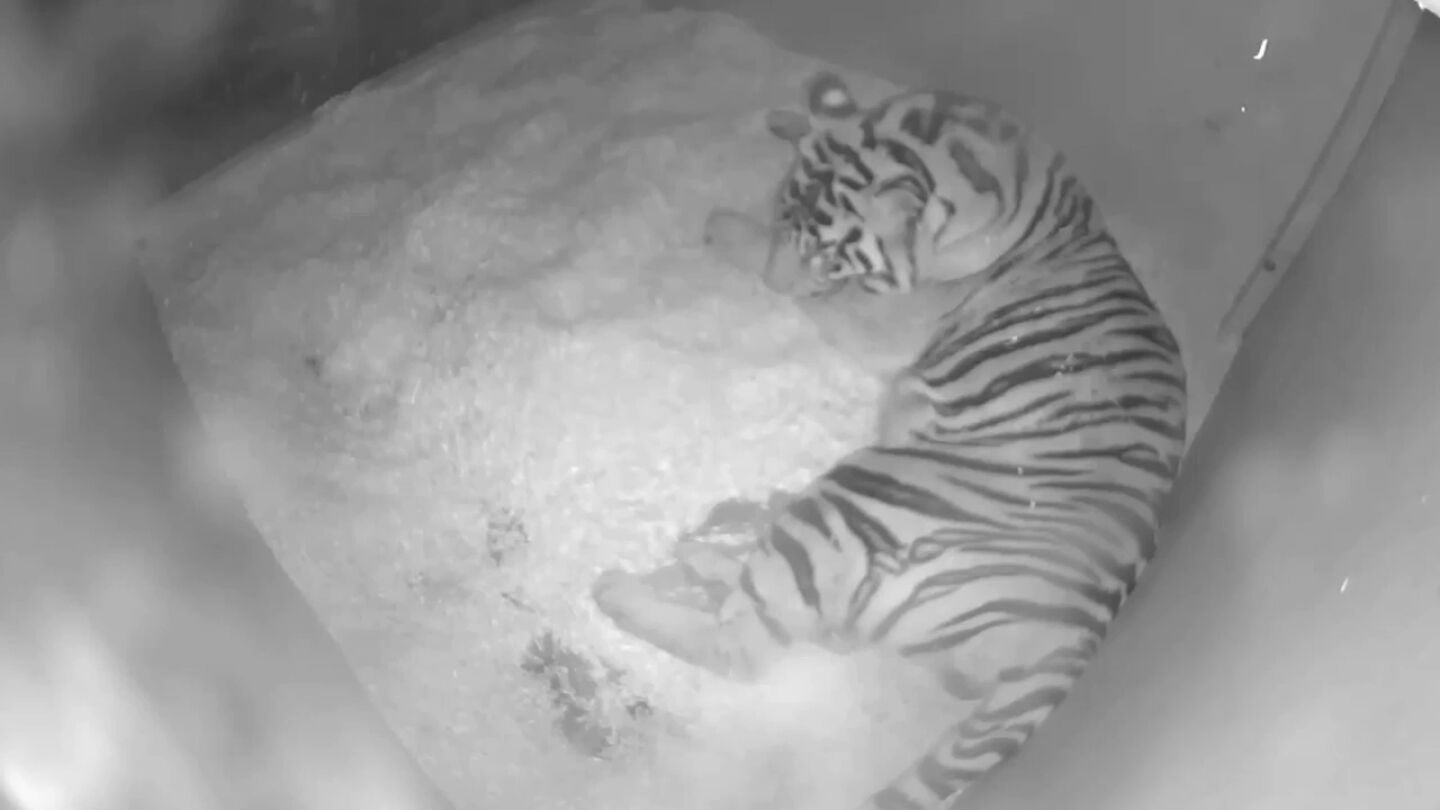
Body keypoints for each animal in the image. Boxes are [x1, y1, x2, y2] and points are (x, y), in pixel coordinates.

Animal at [591, 70, 1188, 810]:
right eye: (785, 215)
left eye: (827, 253)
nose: (771, 280)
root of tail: (1079, 636)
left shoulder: (889, 317)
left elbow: (827, 298)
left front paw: (728, 232)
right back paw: (714, 550)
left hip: (861, 498)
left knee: (749, 648)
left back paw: (620, 591)